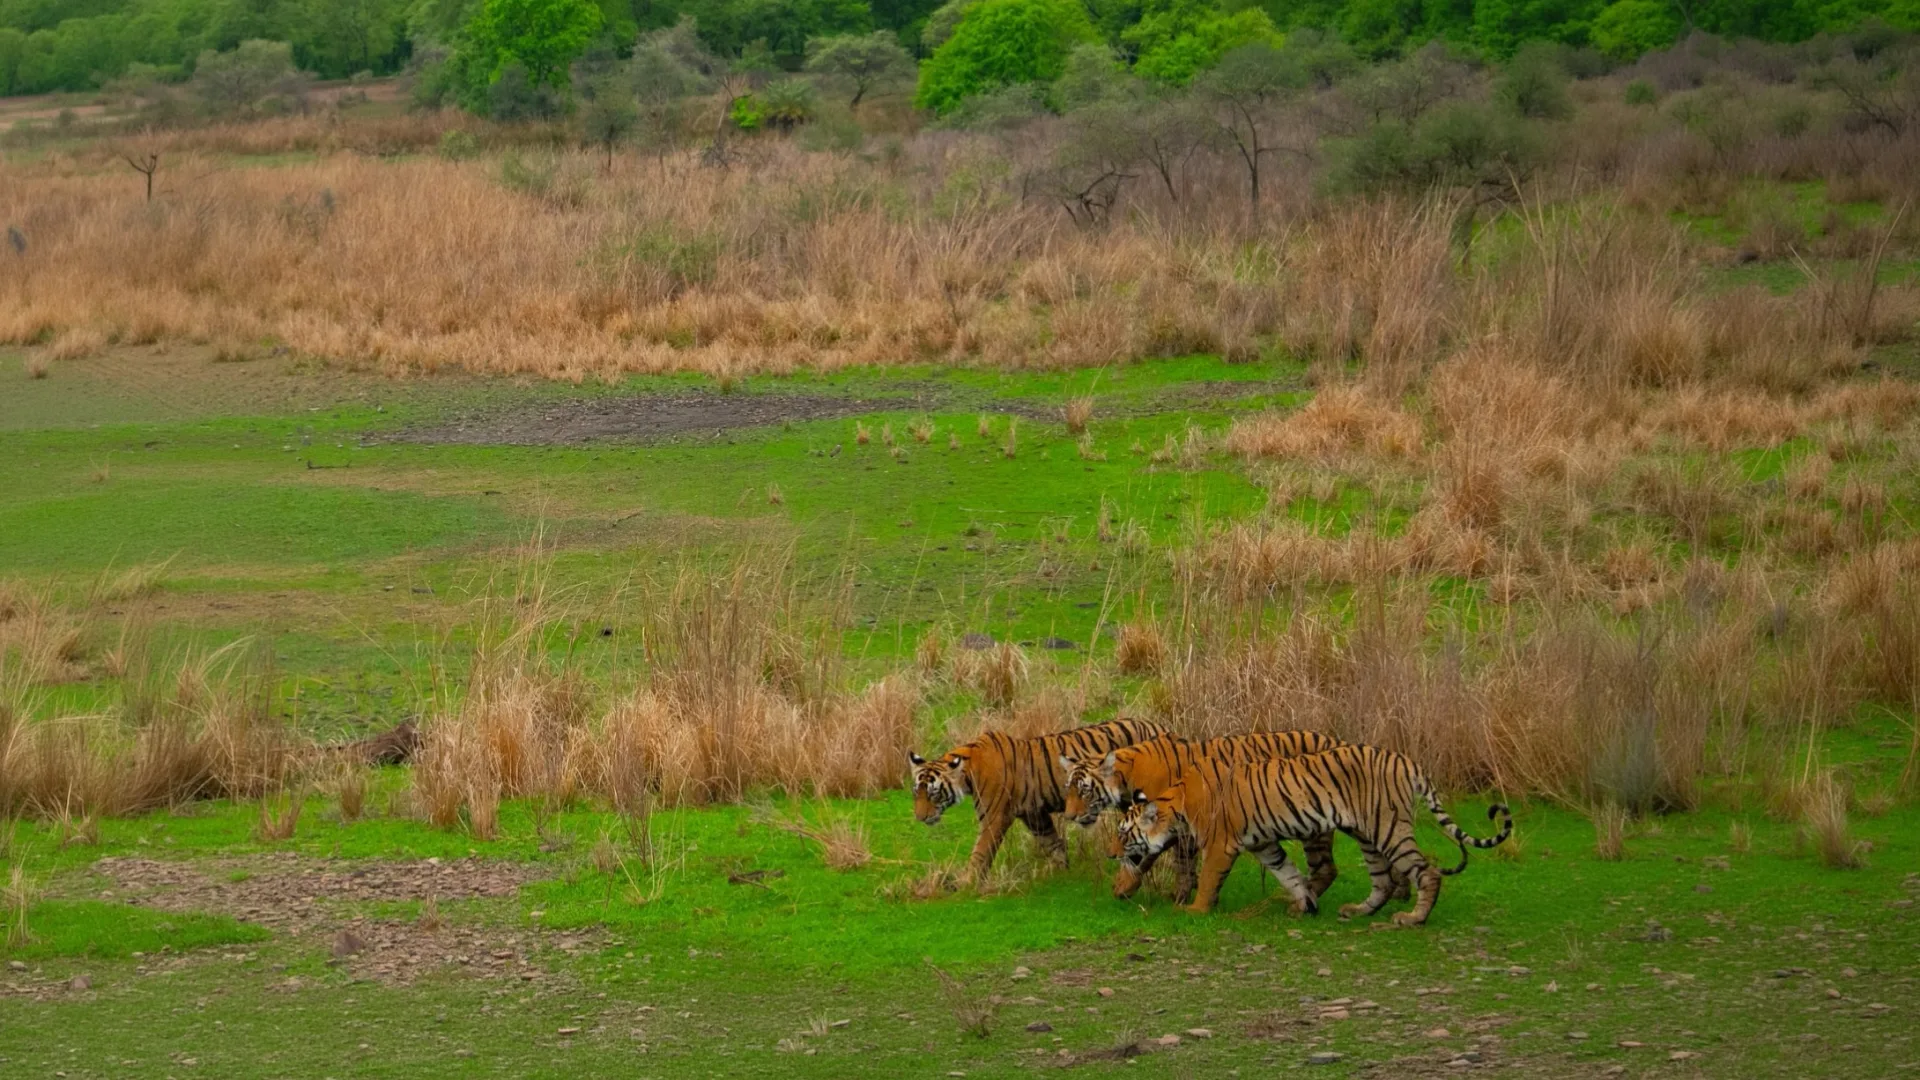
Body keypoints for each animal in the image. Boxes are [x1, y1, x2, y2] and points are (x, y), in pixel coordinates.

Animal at [909, 717, 1167, 883]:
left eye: (932, 793)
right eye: (916, 793)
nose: (919, 818)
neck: (968, 771)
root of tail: (1157, 725)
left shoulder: (994, 817)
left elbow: (980, 851)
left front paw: (967, 883)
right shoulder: (1033, 814)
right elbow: (1053, 843)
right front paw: (1061, 871)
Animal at [1056, 731, 1347, 904]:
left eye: (1084, 790)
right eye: (1068, 788)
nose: (1069, 816)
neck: (1126, 779)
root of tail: (1337, 741)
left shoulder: (1170, 825)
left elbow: (1160, 860)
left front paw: (1132, 888)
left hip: (1313, 825)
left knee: (1326, 869)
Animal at [1115, 743, 1512, 926]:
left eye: (1124, 834)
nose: (1112, 854)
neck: (1176, 803)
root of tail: (1406, 760)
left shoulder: (1220, 844)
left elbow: (1210, 878)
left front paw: (1195, 910)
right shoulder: (1266, 844)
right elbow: (1289, 874)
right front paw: (1304, 903)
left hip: (1388, 827)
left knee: (1426, 872)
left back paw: (1414, 918)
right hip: (1366, 834)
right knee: (1383, 880)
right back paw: (1358, 910)